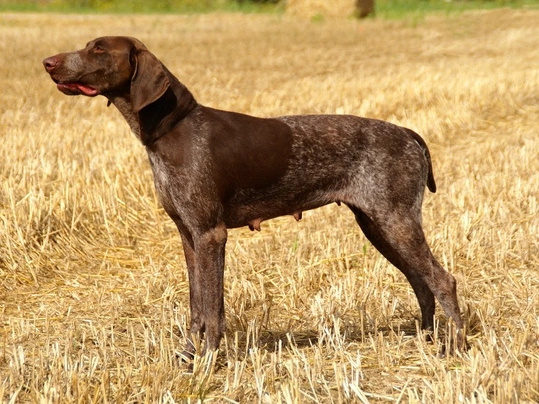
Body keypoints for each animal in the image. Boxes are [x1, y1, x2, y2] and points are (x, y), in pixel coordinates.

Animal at [43, 36, 464, 358]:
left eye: (99, 49)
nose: (47, 61)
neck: (173, 128)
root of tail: (408, 133)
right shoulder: (189, 236)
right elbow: (197, 306)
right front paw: (189, 356)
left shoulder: (211, 234)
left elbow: (212, 309)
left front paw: (209, 361)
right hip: (378, 225)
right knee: (422, 283)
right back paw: (427, 337)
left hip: (395, 222)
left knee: (443, 280)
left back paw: (455, 346)